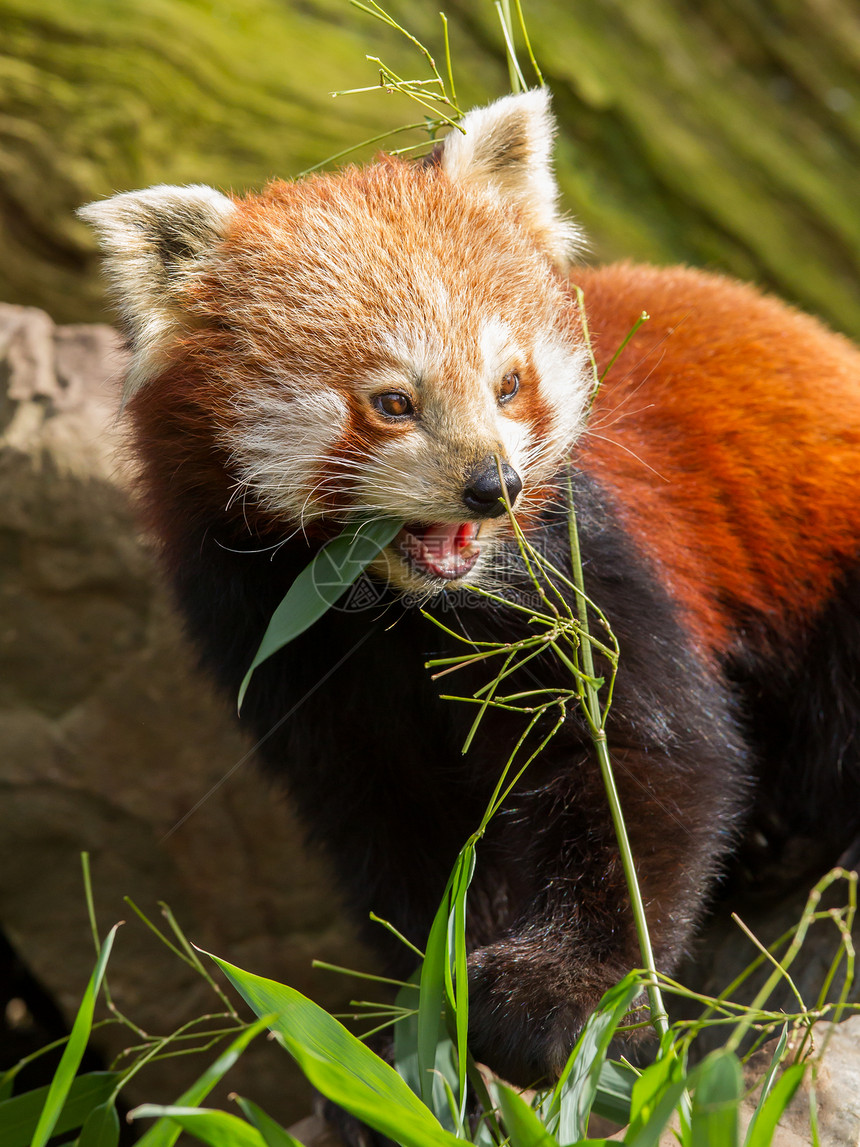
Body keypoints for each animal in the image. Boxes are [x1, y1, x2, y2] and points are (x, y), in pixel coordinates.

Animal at [79, 94, 860, 1087]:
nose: (494, 485)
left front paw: (558, 995)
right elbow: (397, 823)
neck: (406, 610)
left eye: (509, 383)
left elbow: (650, 766)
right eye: (393, 403)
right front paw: (421, 1014)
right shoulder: (286, 644)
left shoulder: (586, 565)